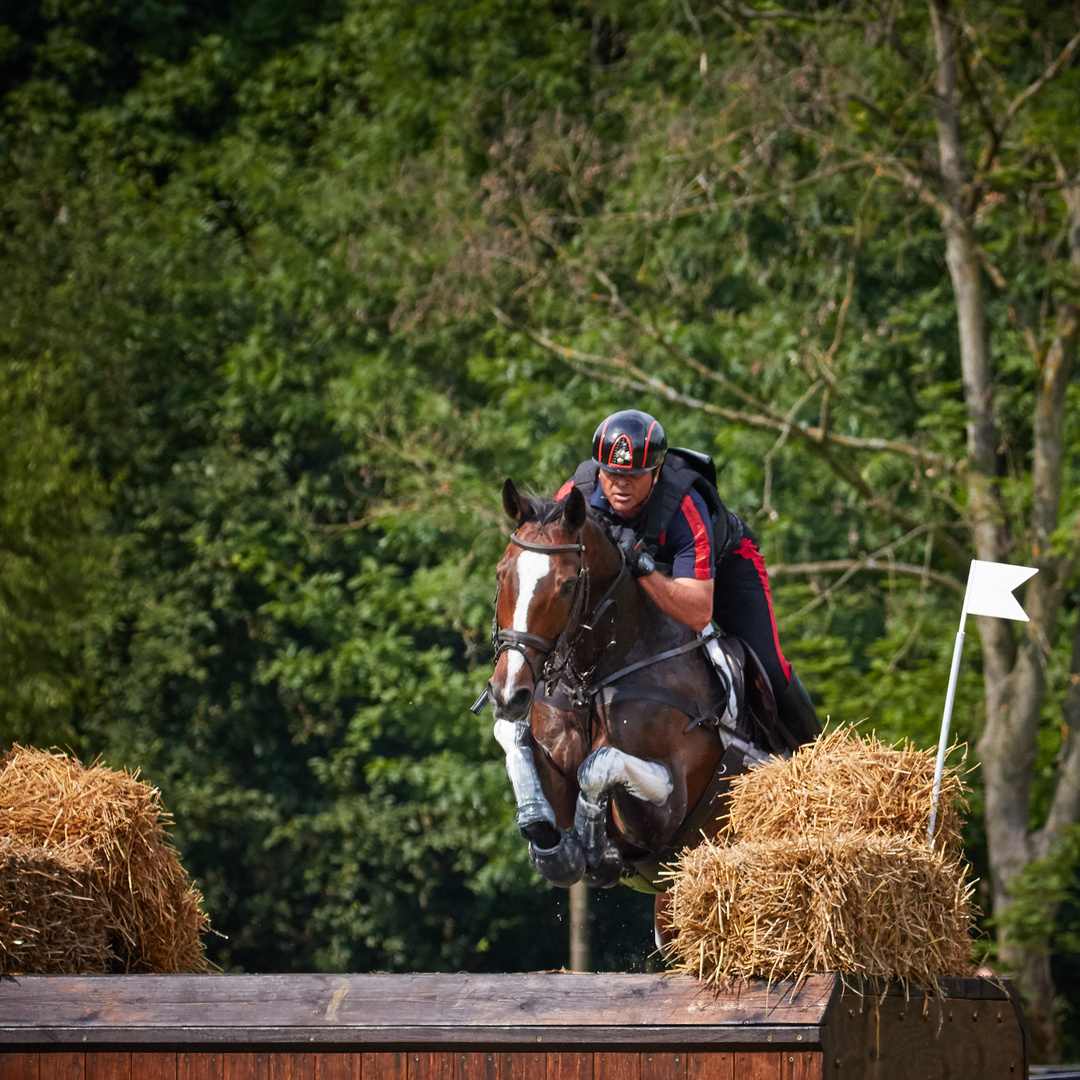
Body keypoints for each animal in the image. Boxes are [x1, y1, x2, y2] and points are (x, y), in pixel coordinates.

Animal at [483, 477, 786, 933]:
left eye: (567, 585)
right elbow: (515, 743)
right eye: (502, 574)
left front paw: (596, 850)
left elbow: (600, 763)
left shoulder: (665, 814)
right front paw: (555, 848)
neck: (595, 681)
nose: (508, 693)